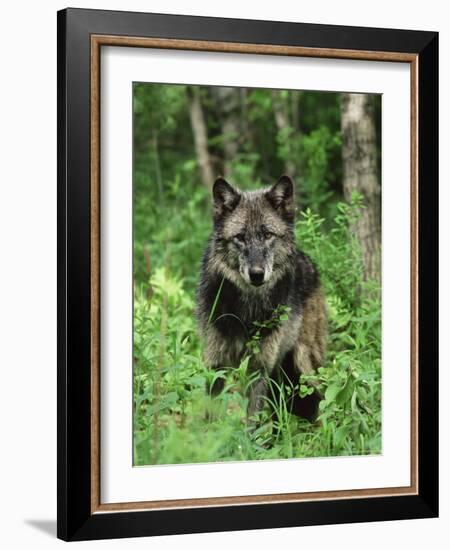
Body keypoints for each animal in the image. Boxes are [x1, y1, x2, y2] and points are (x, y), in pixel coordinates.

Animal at [197, 177, 326, 422]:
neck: (246, 310)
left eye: (267, 235)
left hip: (303, 364)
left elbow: (252, 420)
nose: (256, 274)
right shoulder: (215, 362)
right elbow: (210, 412)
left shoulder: (259, 368)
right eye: (240, 237)